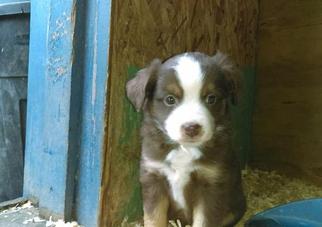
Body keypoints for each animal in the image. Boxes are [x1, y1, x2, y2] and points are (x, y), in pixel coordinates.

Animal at [126, 51, 244, 227]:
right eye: (170, 99)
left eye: (211, 98)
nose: (191, 127)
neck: (184, 149)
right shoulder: (154, 177)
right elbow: (154, 217)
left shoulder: (212, 183)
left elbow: (204, 221)